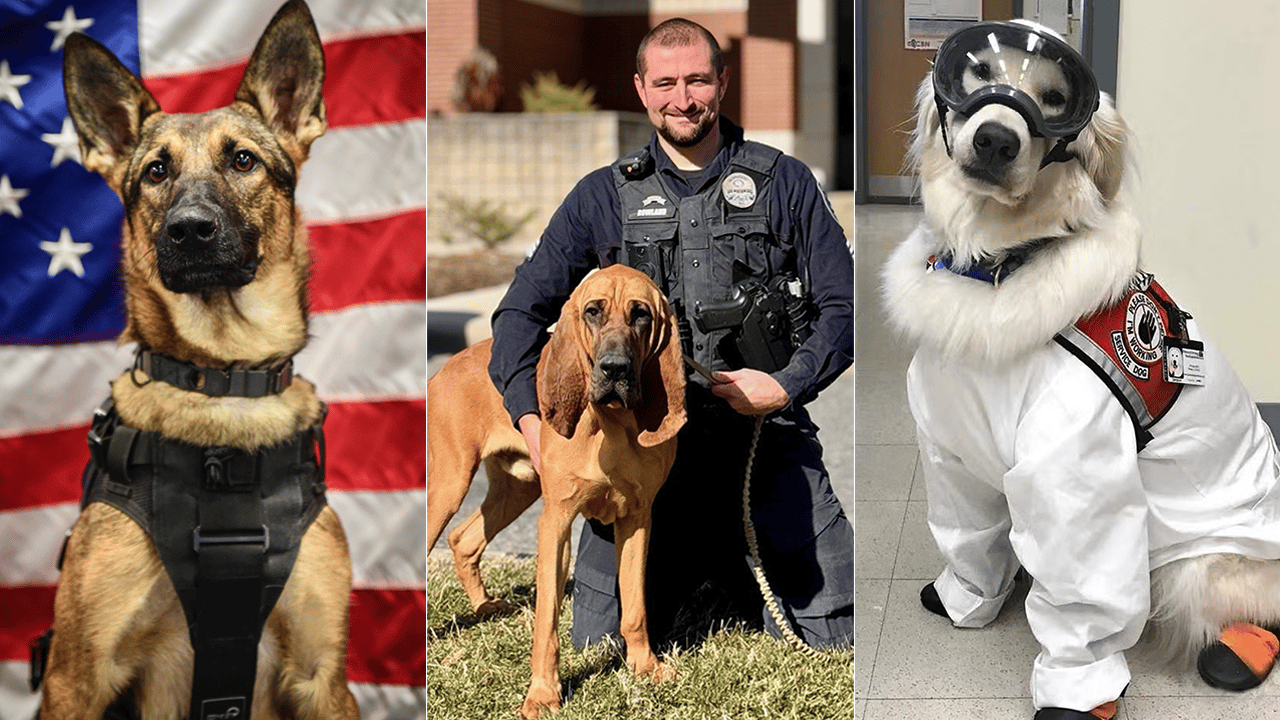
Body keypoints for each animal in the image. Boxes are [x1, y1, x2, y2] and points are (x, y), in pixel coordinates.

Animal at [40, 2, 358, 712]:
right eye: (156, 172)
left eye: (242, 160)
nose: (189, 230)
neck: (223, 378)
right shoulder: (77, 678)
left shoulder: (323, 676)